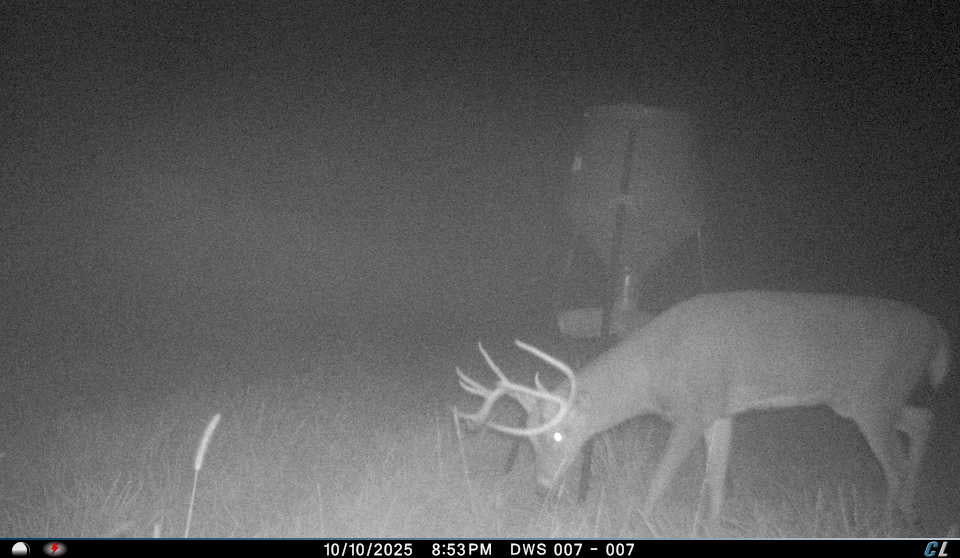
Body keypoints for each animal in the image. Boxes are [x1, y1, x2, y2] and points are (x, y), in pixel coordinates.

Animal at [454, 291, 950, 522]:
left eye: (558, 434)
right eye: (530, 443)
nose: (541, 488)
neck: (653, 372)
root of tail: (938, 330)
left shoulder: (693, 411)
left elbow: (661, 476)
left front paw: (639, 520)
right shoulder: (722, 410)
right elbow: (714, 479)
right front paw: (711, 524)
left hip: (872, 398)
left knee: (896, 462)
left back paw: (889, 518)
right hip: (874, 399)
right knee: (925, 419)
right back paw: (909, 511)